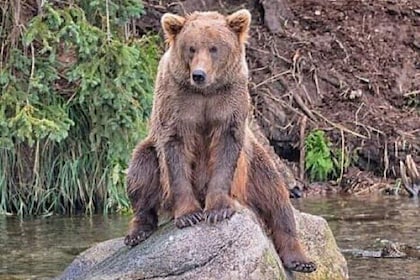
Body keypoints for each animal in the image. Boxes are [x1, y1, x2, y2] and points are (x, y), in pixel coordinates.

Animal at [124, 9, 316, 274]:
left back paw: (300, 259)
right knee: (141, 169)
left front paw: (218, 210)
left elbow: (226, 150)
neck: (206, 91)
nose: (199, 75)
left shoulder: (229, 100)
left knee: (276, 197)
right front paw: (189, 215)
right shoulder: (177, 101)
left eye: (214, 48)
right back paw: (138, 231)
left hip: (254, 164)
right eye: (191, 48)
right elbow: (175, 152)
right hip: (149, 152)